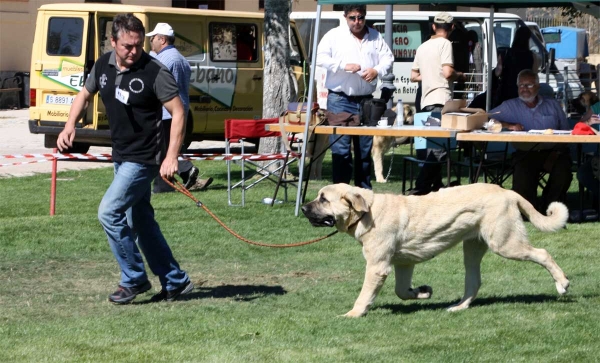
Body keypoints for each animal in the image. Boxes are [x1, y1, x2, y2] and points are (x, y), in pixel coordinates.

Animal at [302, 183, 568, 318]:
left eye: (323, 199)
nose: (303, 208)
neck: (367, 211)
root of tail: (507, 191)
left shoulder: (377, 267)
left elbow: (365, 295)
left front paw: (354, 313)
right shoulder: (403, 263)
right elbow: (402, 291)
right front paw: (422, 292)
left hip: (505, 244)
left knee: (543, 253)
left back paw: (562, 283)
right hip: (473, 250)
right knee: (474, 283)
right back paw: (458, 307)